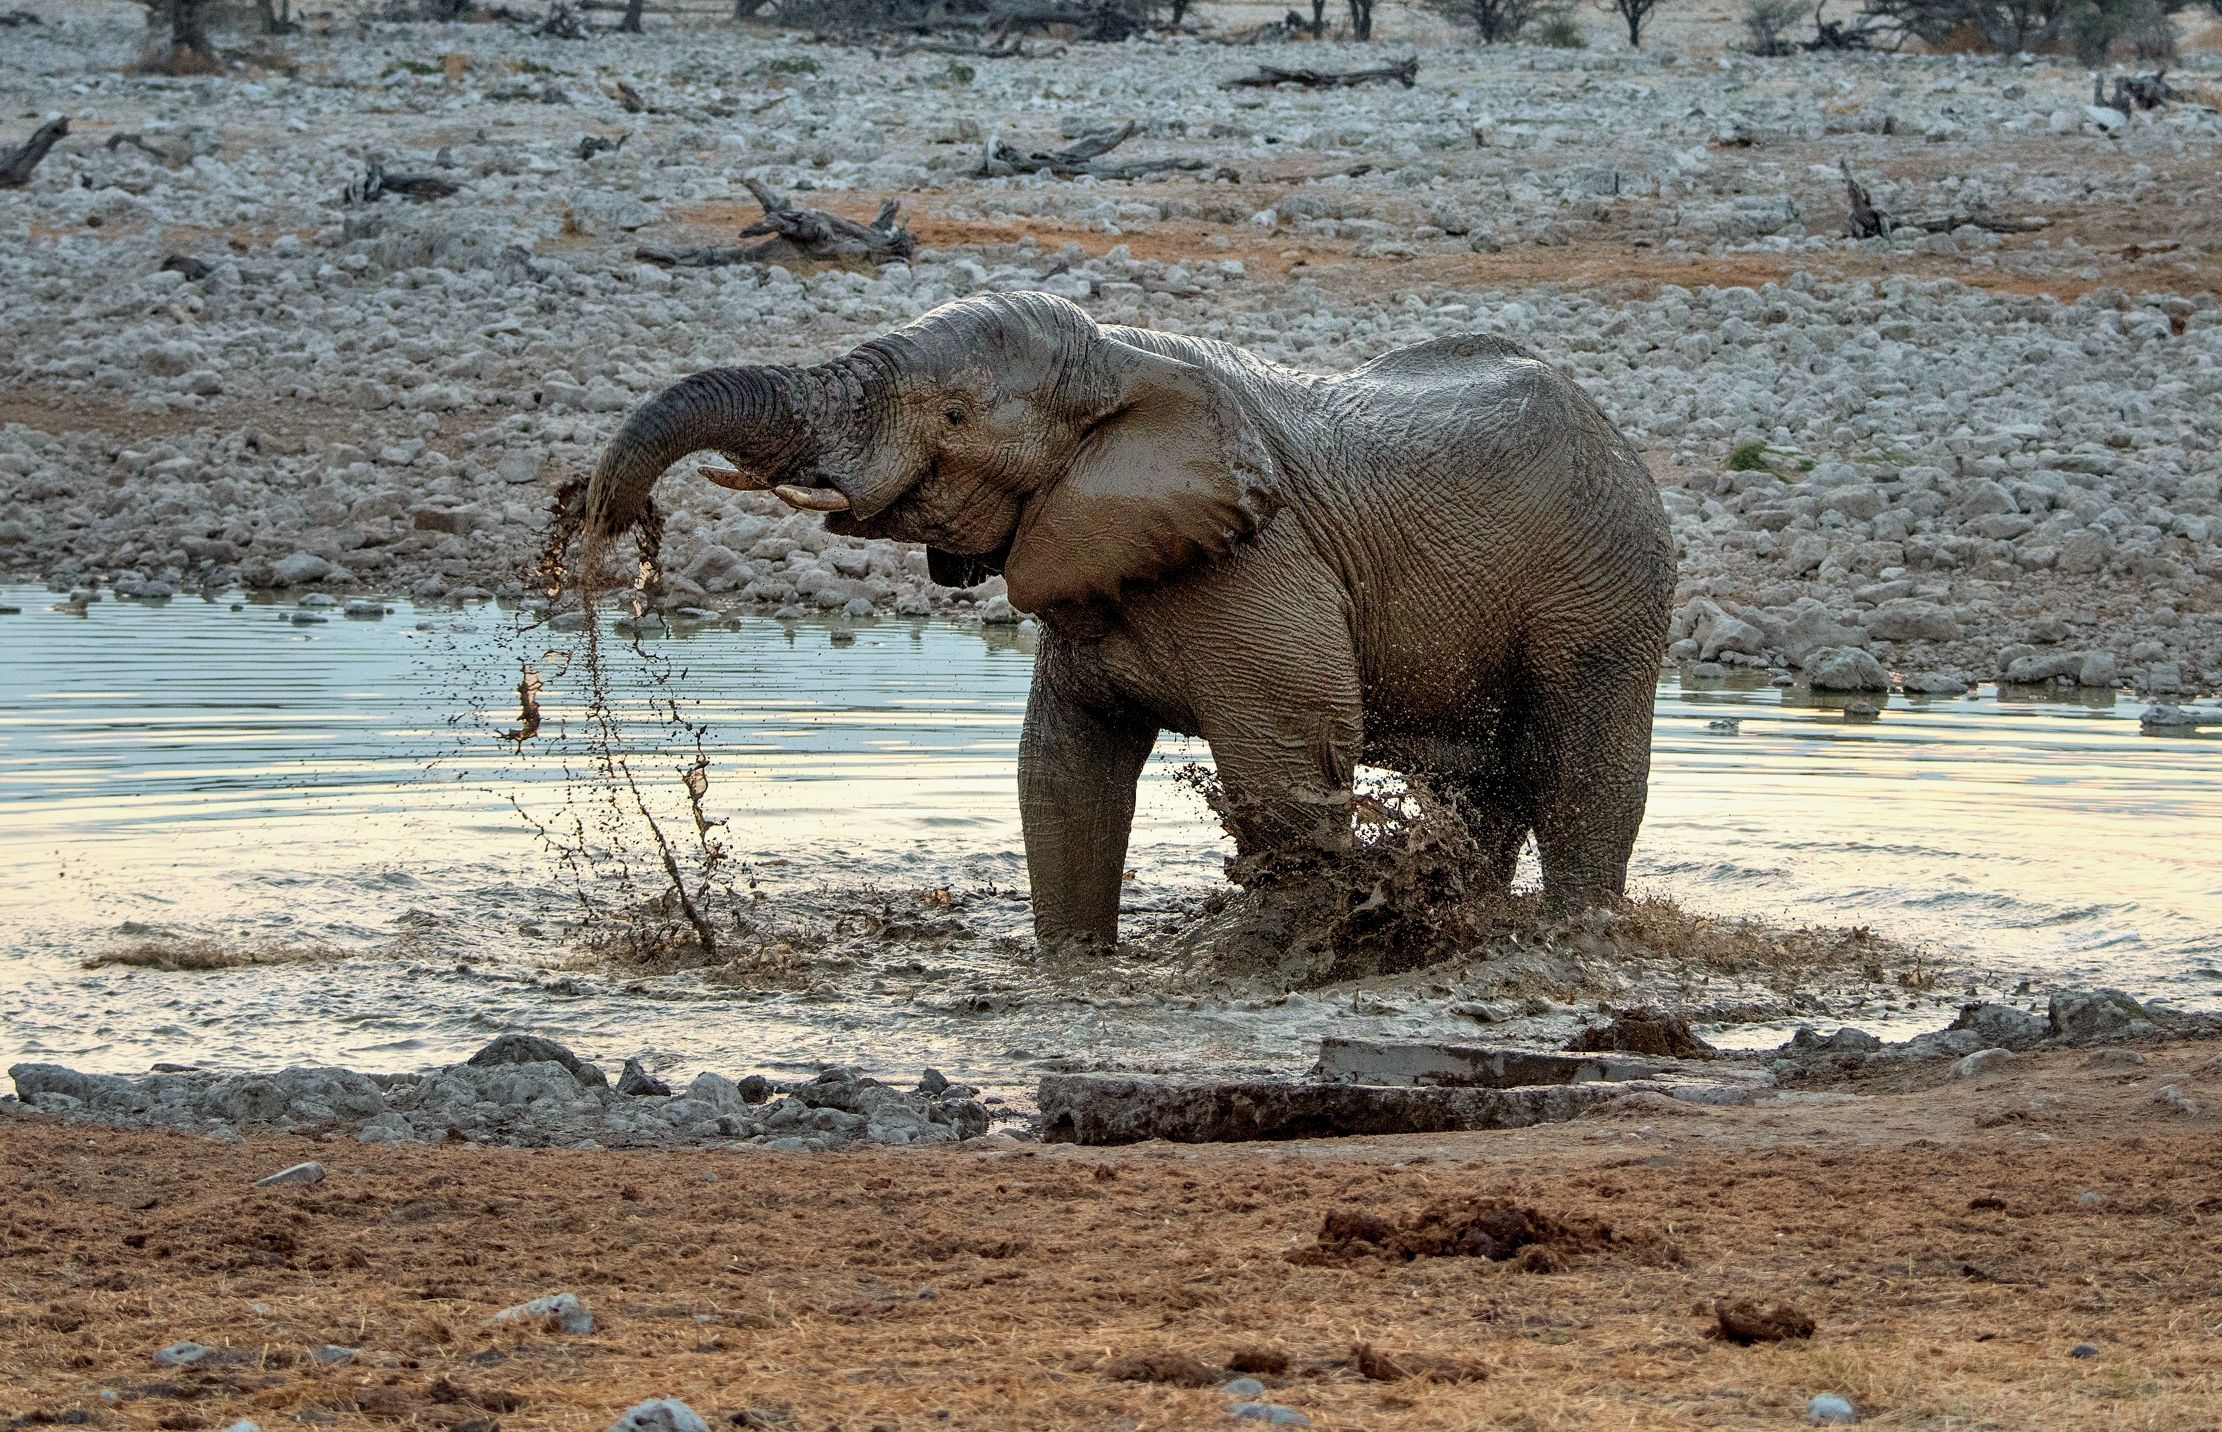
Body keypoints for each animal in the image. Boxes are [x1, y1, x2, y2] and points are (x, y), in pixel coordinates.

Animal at [572, 291, 1674, 948]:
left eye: (955, 417)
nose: (606, 519)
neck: (1118, 359)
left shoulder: (1259, 561)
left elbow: (1285, 769)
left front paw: (1266, 958)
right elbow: (1063, 770)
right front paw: (1072, 968)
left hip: (1607, 585)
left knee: (1581, 775)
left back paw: (1579, 937)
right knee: (1480, 792)